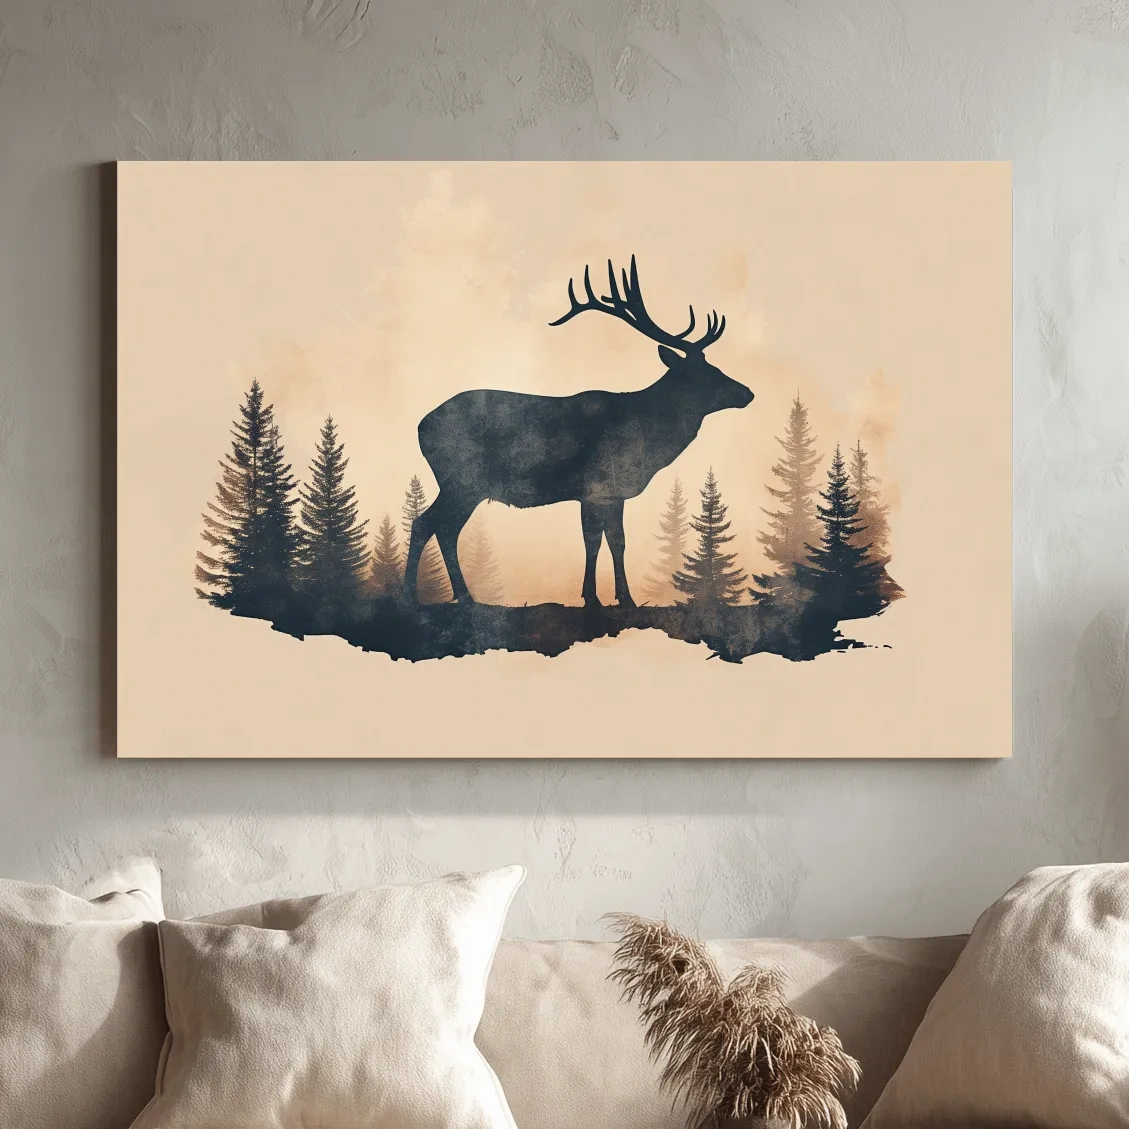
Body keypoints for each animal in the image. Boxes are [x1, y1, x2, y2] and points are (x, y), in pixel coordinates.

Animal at [403, 256, 754, 608]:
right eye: (705, 373)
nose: (748, 393)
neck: (645, 434)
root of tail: (421, 427)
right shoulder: (597, 486)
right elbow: (598, 541)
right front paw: (599, 598)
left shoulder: (610, 492)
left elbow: (611, 540)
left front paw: (616, 598)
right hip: (463, 479)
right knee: (430, 524)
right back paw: (423, 596)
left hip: (464, 485)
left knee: (440, 527)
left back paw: (457, 596)